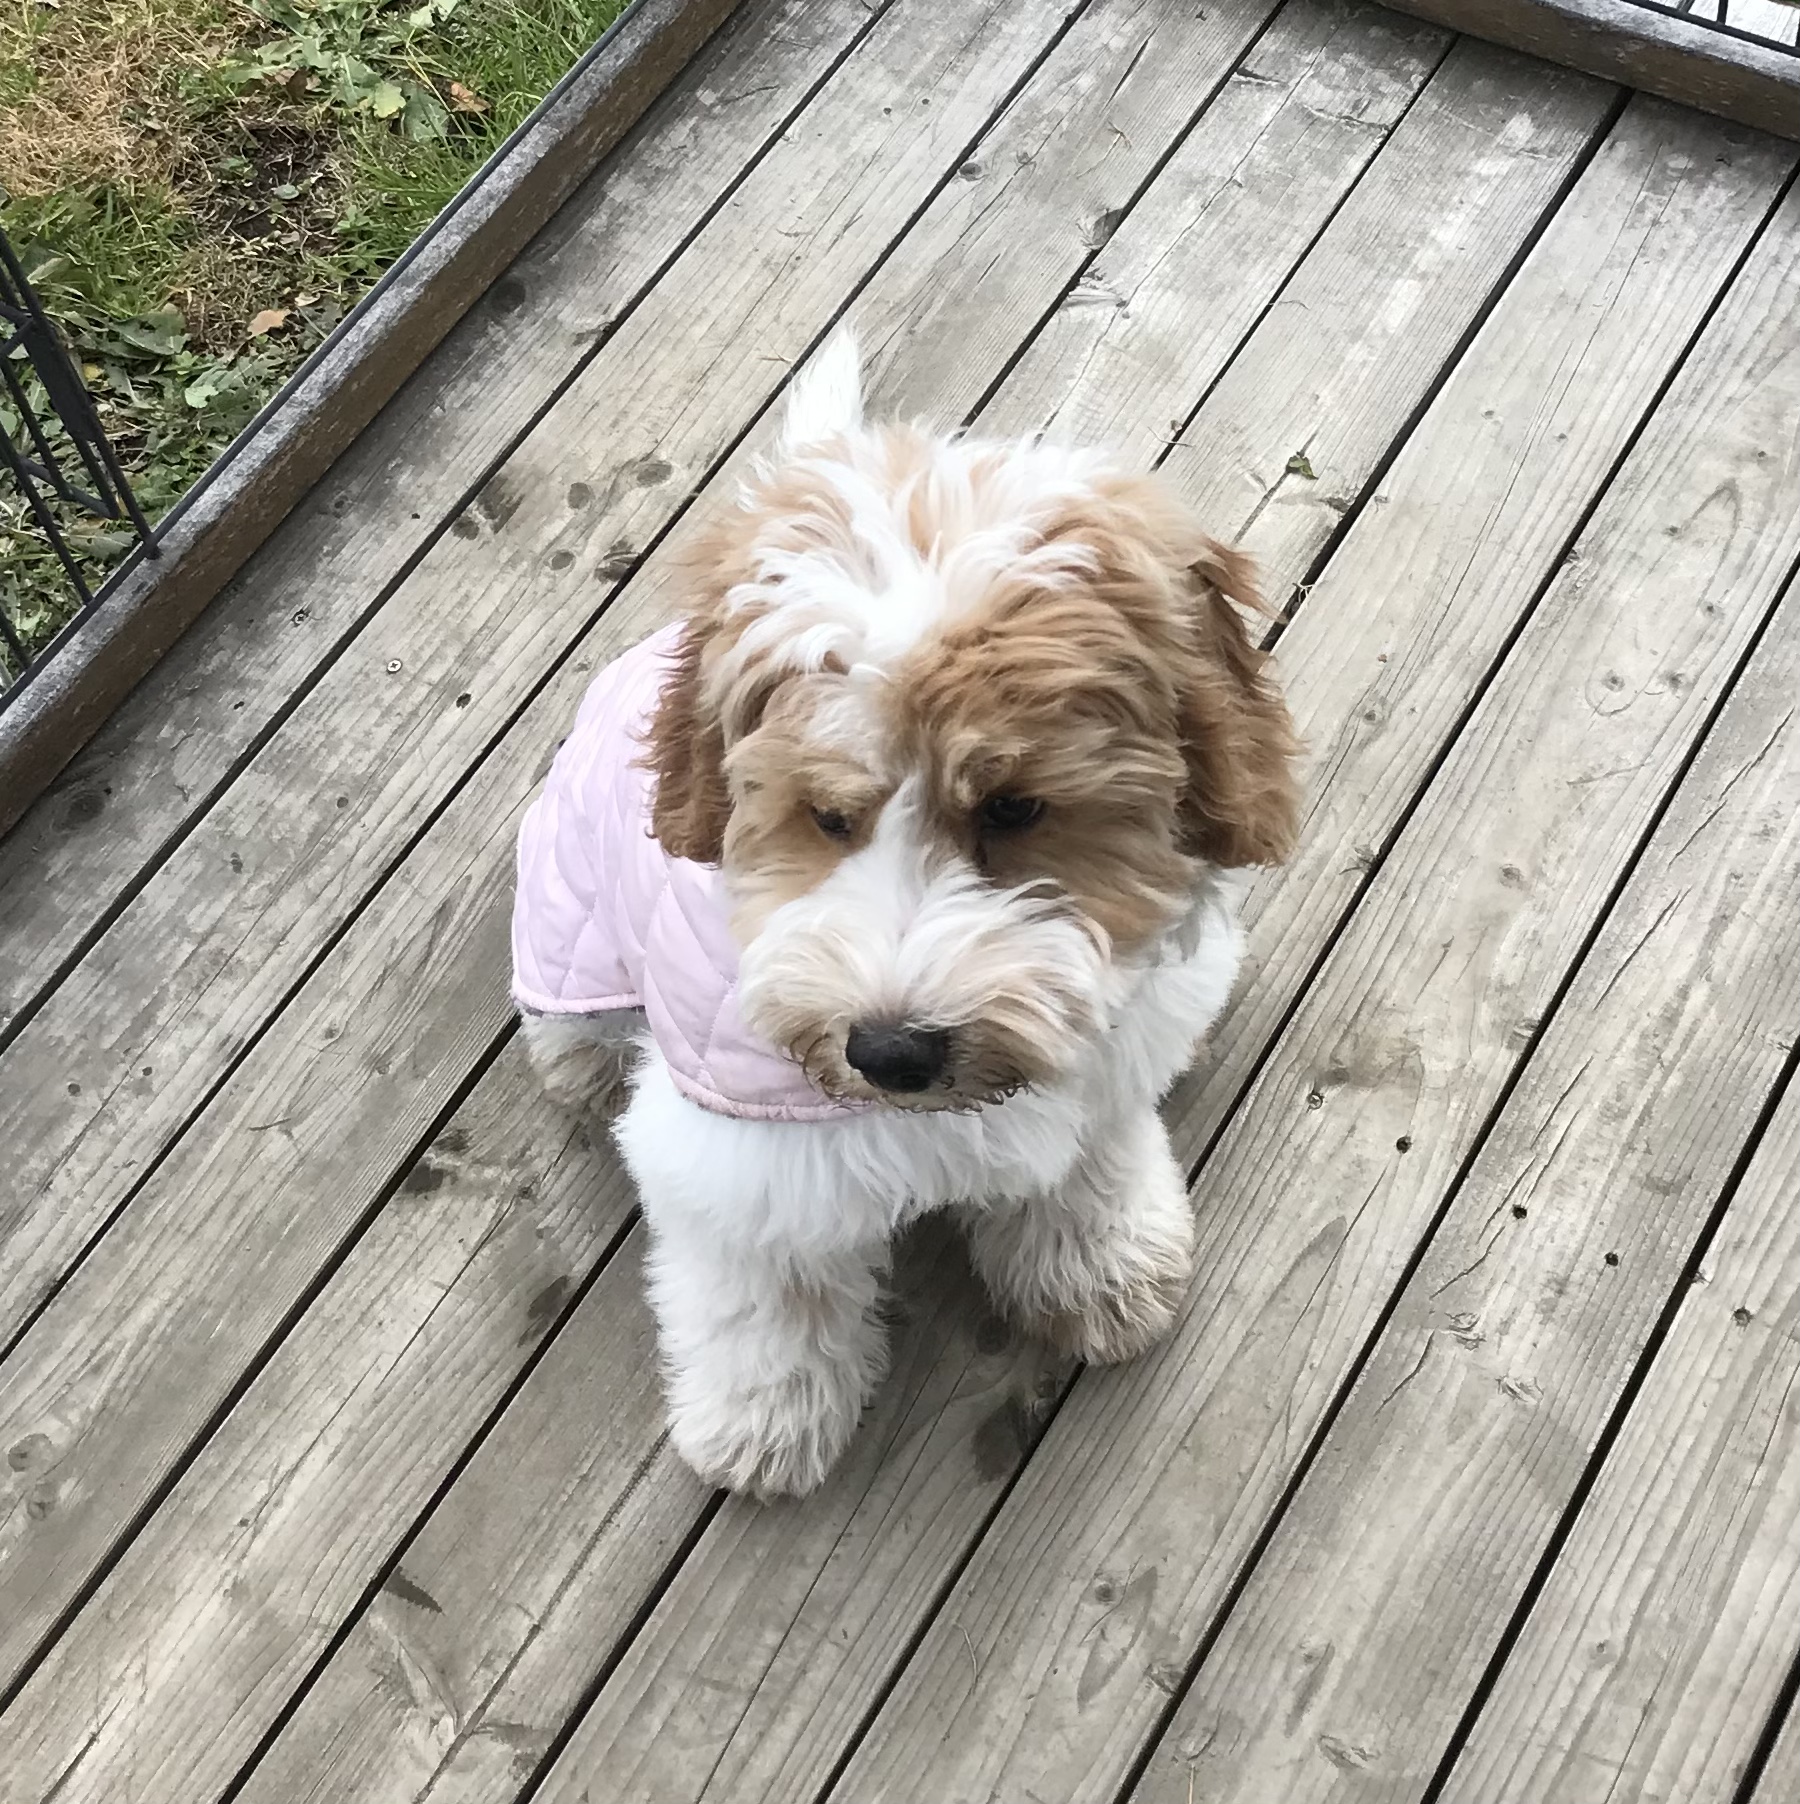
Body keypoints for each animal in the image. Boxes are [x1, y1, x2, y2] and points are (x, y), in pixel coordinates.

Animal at [511, 330, 1301, 1498]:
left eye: (1014, 808)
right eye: (827, 815)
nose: (890, 1052)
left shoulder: (1100, 1065)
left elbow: (1087, 1167)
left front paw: (1103, 1271)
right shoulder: (736, 1154)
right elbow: (765, 1287)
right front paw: (763, 1417)